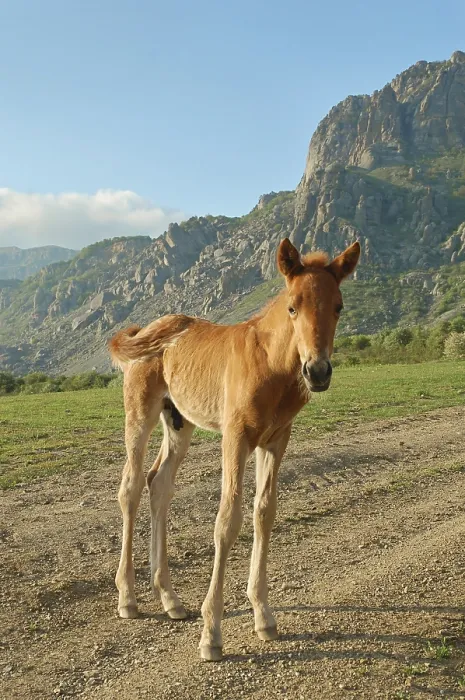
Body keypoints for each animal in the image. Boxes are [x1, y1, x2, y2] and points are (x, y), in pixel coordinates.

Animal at [109, 237, 360, 661]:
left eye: (339, 306)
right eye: (292, 305)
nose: (317, 372)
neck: (271, 364)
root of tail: (150, 328)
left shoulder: (276, 439)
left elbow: (264, 513)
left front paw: (263, 615)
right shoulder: (235, 436)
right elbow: (227, 521)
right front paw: (211, 633)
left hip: (179, 421)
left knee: (158, 484)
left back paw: (170, 599)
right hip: (140, 412)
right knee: (129, 487)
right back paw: (128, 598)